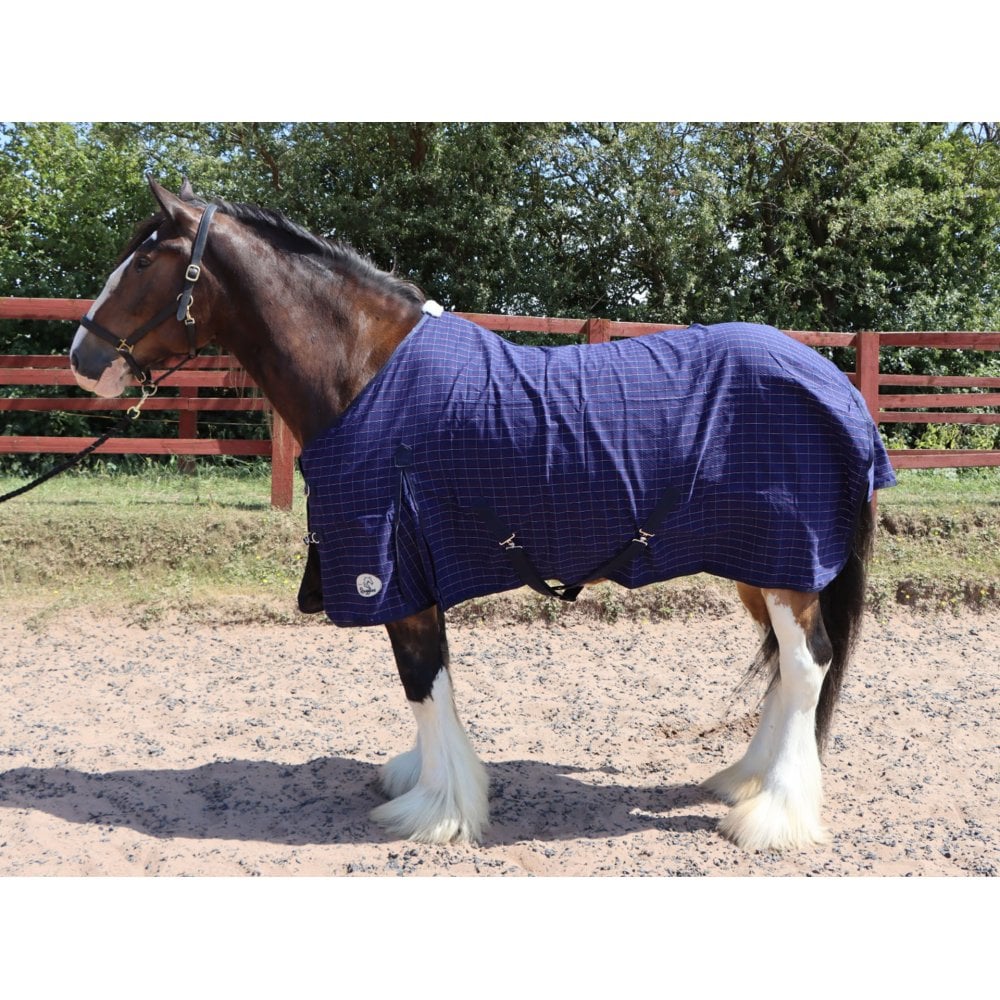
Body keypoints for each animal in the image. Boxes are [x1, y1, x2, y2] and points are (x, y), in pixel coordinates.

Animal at [69, 177, 895, 852]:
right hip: (761, 563)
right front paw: (427, 783)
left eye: (143, 262)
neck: (367, 374)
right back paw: (742, 779)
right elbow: (431, 685)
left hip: (786, 565)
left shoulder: (391, 569)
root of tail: (836, 386)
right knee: (789, 669)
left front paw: (438, 810)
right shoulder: (413, 568)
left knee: (807, 663)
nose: (82, 359)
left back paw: (775, 814)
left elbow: (422, 680)